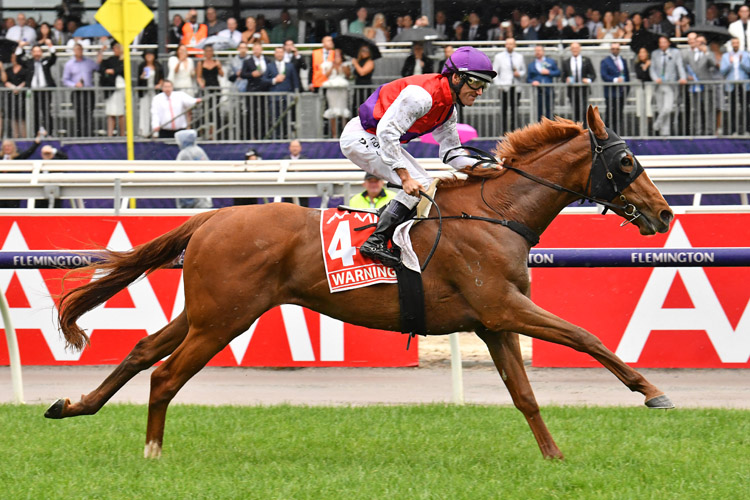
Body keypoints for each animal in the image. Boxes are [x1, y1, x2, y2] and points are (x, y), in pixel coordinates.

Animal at [48, 107, 680, 458]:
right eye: (626, 162)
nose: (664, 213)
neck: (496, 213)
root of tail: (211, 217)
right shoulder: (504, 308)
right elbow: (586, 337)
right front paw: (652, 390)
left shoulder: (492, 323)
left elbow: (524, 394)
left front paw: (555, 459)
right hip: (224, 318)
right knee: (165, 374)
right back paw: (152, 451)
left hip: (207, 311)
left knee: (142, 349)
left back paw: (73, 405)